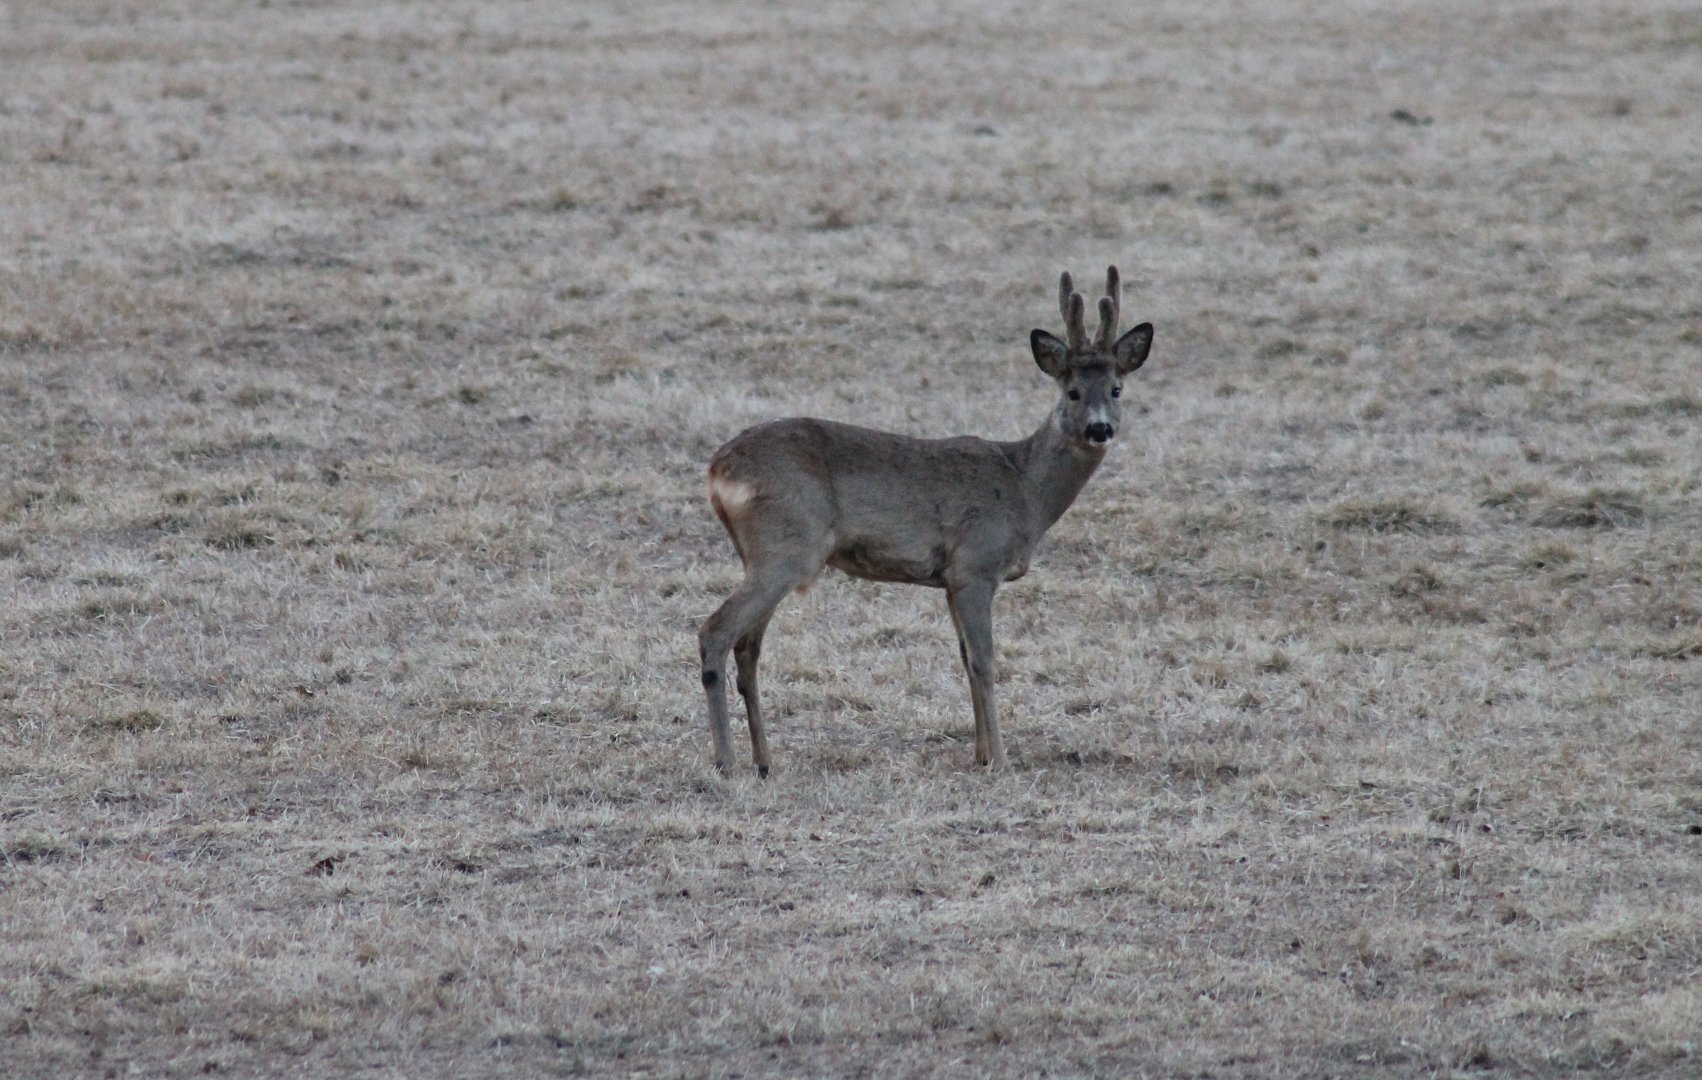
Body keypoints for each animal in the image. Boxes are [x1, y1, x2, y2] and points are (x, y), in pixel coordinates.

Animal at [697, 267, 1153, 776]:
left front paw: (980, 754)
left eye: (1116, 390)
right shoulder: (975, 565)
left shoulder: (950, 579)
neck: (1025, 490)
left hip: (764, 554)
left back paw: (764, 762)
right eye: (1072, 392)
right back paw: (726, 762)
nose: (1100, 428)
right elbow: (984, 660)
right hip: (787, 547)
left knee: (748, 647)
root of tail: (718, 469)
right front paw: (1000, 759)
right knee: (716, 631)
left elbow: (963, 657)